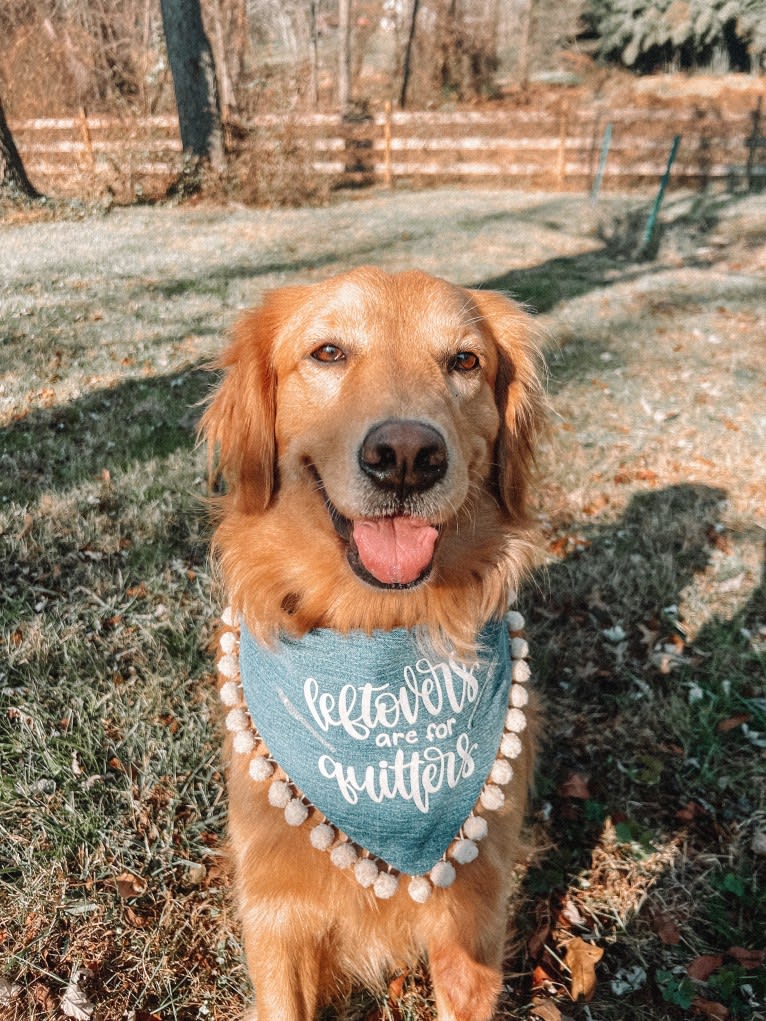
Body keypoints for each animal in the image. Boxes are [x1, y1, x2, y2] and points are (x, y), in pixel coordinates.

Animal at [199, 267, 547, 1016]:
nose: (407, 457)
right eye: (328, 353)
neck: (376, 634)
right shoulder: (276, 914)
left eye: (464, 361)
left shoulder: (472, 919)